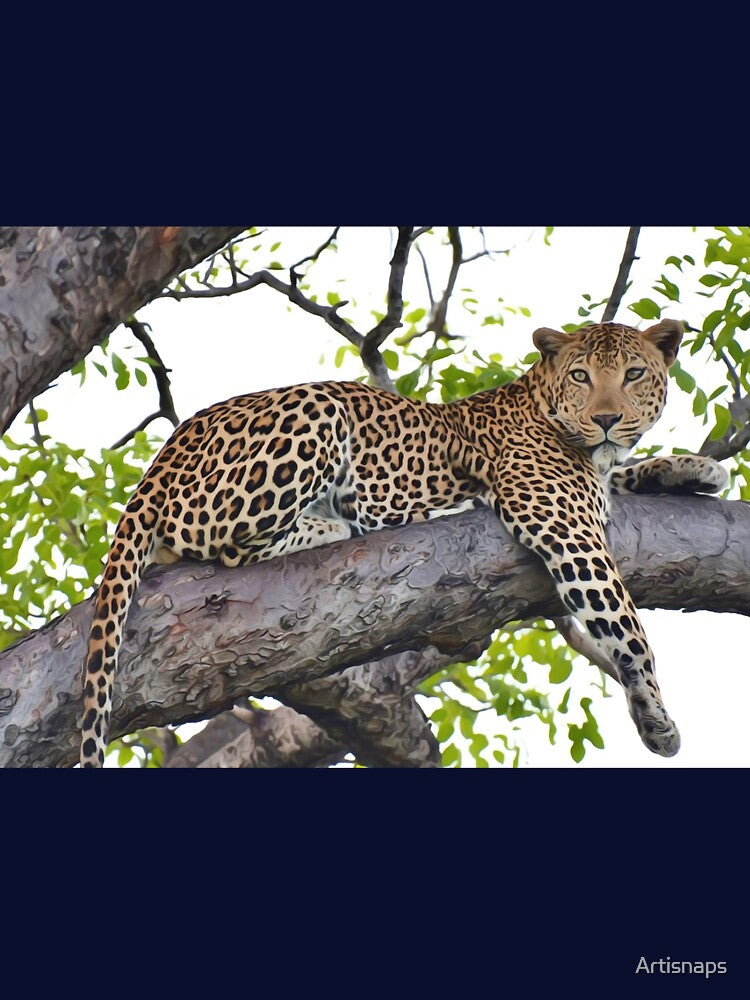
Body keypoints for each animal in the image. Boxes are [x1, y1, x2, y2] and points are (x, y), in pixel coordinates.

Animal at [79, 318, 728, 767]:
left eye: (634, 374)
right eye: (581, 376)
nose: (607, 419)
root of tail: (164, 454)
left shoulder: (587, 486)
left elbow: (626, 472)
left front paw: (694, 468)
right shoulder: (558, 517)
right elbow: (627, 626)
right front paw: (655, 717)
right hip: (314, 413)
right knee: (219, 540)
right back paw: (341, 521)